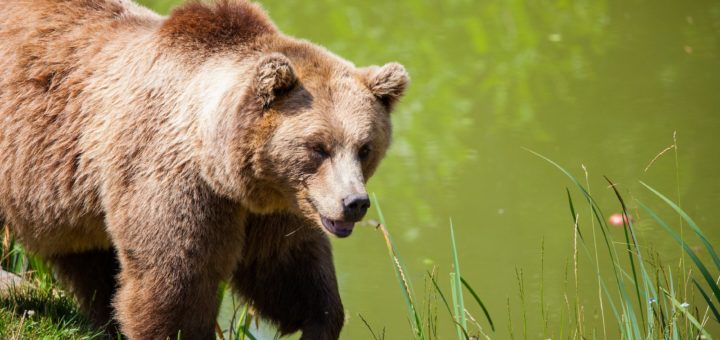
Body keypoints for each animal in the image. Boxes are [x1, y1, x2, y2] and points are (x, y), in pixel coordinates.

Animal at [0, 0, 408, 338]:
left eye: (365, 148)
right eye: (318, 147)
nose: (354, 202)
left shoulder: (276, 205)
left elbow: (286, 267)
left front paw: (321, 321)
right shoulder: (172, 179)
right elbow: (176, 280)